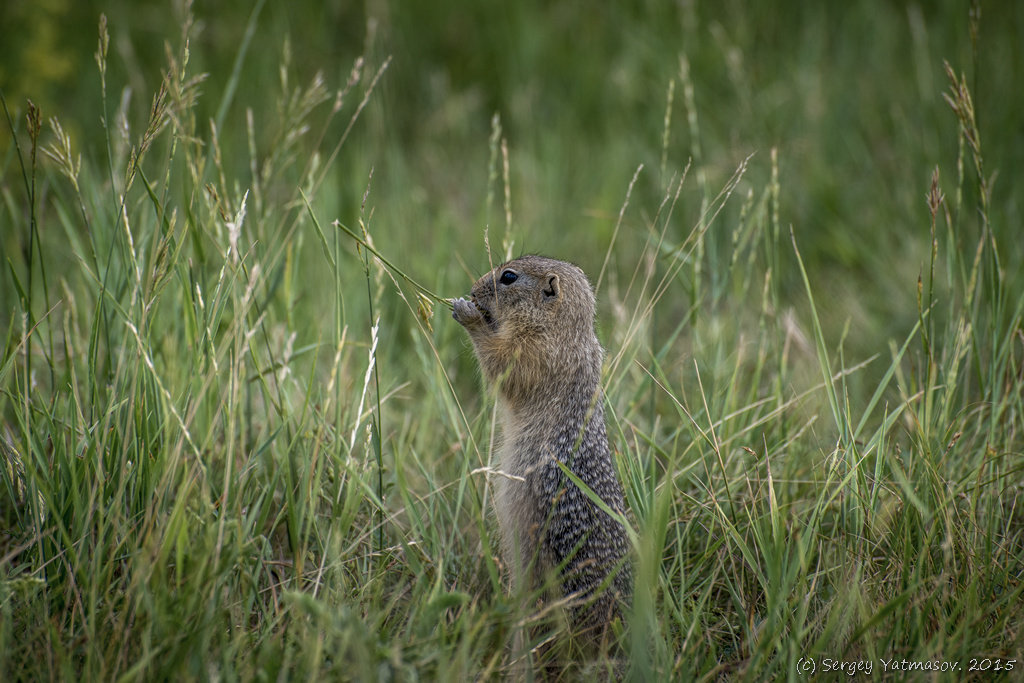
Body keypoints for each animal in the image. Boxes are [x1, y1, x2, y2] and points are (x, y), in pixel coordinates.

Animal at [452, 254, 626, 643]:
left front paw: (469, 313)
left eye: (508, 277)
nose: (472, 289)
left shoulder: (535, 352)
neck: (567, 330)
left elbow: (504, 366)